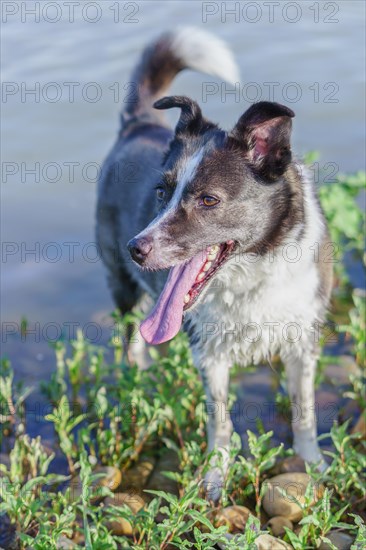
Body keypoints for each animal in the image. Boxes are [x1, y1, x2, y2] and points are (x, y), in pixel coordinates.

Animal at [96, 27, 332, 500]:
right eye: (161, 191)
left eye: (208, 200)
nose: (136, 248)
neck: (255, 270)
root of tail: (138, 124)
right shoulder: (210, 354)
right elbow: (219, 423)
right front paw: (214, 479)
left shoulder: (302, 342)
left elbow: (305, 411)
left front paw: (312, 465)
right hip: (121, 285)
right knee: (130, 339)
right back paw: (140, 373)